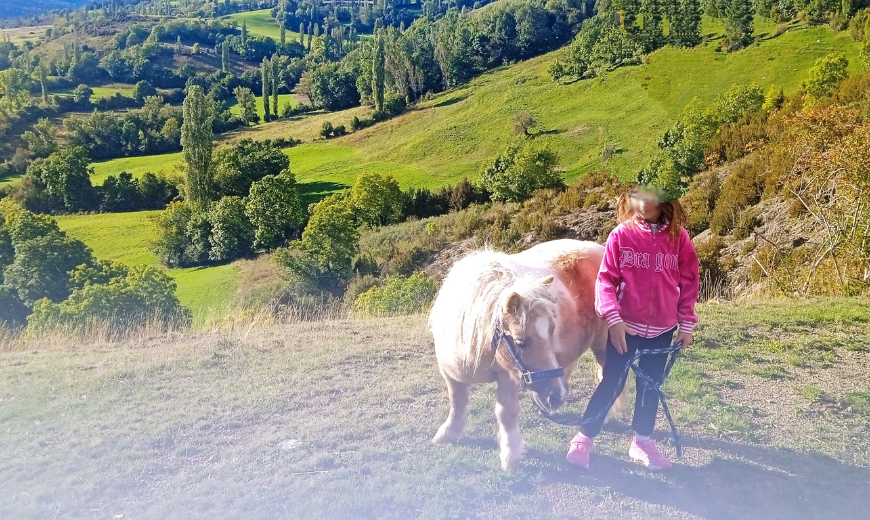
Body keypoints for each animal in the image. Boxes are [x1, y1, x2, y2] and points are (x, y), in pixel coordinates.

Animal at [430, 240, 608, 472]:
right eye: (521, 342)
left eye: (551, 330)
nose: (556, 396)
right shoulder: (451, 374)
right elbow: (456, 403)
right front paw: (447, 434)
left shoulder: (508, 376)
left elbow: (505, 413)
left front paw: (510, 456)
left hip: (605, 343)